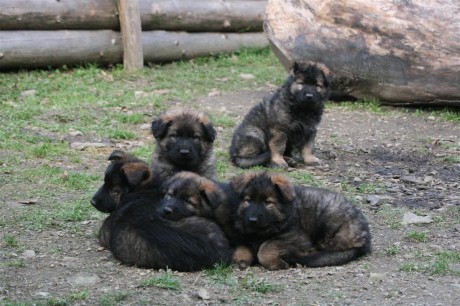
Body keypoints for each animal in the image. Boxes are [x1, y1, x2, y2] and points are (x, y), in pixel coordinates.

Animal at [230, 172, 370, 270]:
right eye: (248, 200)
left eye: (267, 202)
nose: (252, 220)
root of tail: (366, 237)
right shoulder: (243, 236)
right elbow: (240, 248)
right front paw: (242, 259)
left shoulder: (298, 239)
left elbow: (266, 247)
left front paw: (277, 263)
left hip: (328, 221)